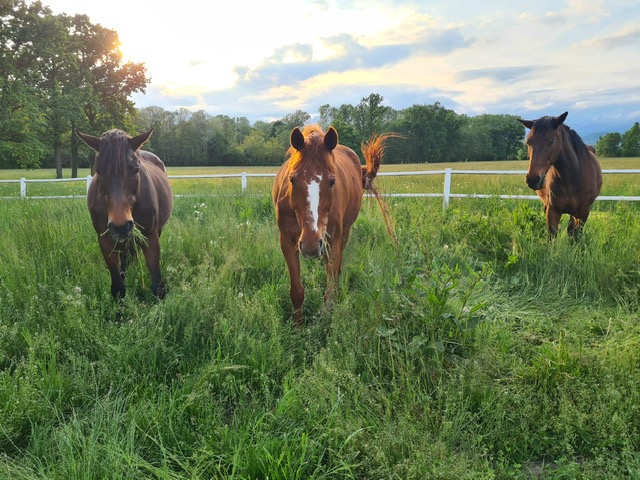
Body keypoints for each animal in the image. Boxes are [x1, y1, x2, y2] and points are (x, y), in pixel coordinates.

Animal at [75, 127, 174, 300]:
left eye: (136, 169)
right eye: (98, 171)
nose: (120, 226)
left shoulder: (150, 236)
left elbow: (157, 284)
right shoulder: (105, 240)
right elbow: (118, 286)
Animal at [272, 125, 392, 324]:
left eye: (332, 181)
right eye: (292, 179)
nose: (311, 245)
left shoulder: (333, 240)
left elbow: (330, 292)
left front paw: (327, 324)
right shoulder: (287, 242)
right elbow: (296, 291)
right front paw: (297, 326)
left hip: (343, 234)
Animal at [516, 111, 604, 240]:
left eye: (551, 141)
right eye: (528, 142)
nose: (533, 179)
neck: (573, 177)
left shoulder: (583, 212)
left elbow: (575, 236)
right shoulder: (553, 210)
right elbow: (552, 236)